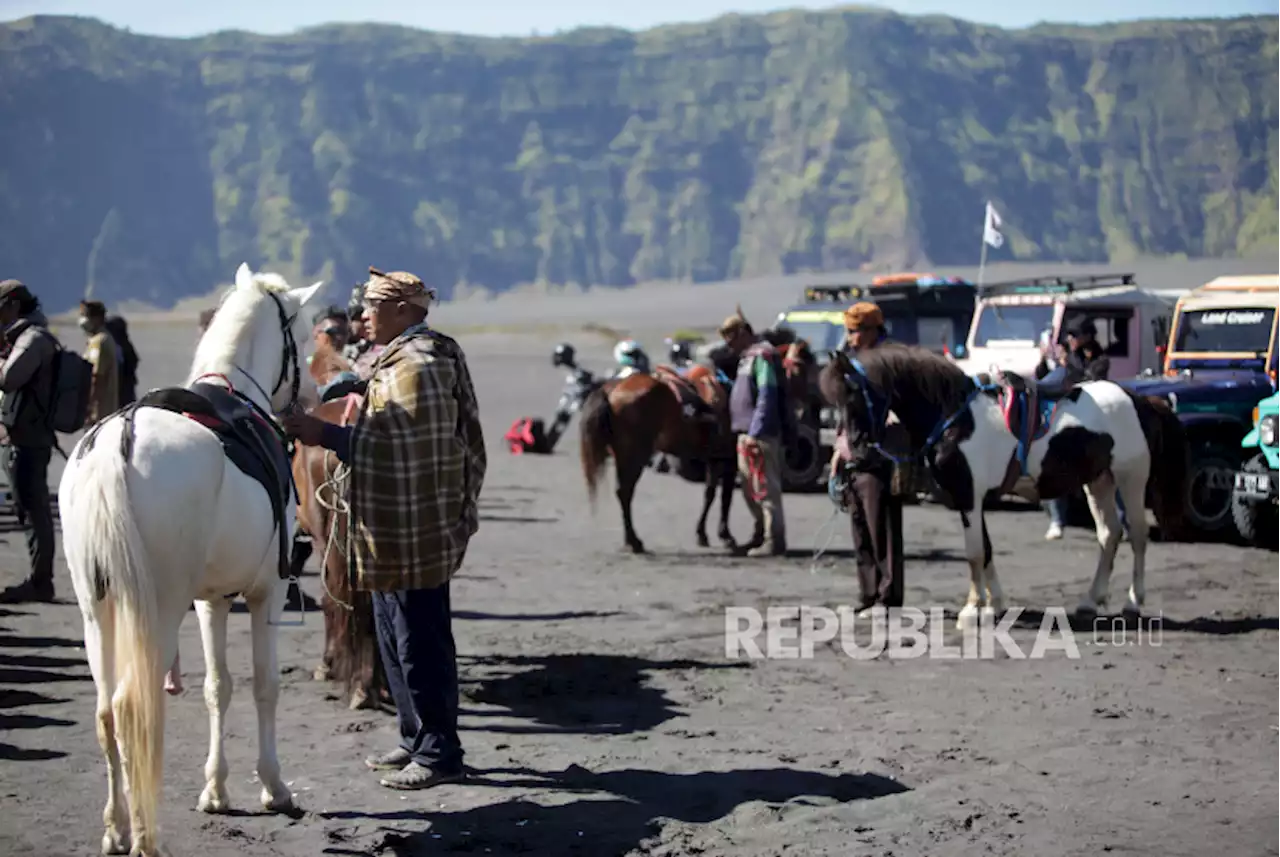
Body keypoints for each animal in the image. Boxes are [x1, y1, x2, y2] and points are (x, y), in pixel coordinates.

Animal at [60, 264, 325, 854]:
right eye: (305, 329)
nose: (315, 393)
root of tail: (118, 441)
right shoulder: (266, 594)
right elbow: (264, 685)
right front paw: (273, 786)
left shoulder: (211, 601)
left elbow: (216, 688)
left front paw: (217, 789)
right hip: (156, 608)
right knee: (134, 709)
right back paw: (143, 834)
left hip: (98, 611)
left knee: (106, 711)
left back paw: (116, 828)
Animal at [819, 342, 1187, 631]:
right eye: (837, 402)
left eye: (856, 395)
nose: (853, 450)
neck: (955, 419)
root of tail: (1142, 400)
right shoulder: (973, 499)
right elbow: (987, 550)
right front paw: (993, 605)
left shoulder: (969, 497)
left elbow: (974, 553)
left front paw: (971, 610)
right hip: (1100, 481)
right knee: (1109, 534)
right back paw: (1089, 601)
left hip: (1131, 479)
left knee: (1137, 535)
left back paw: (1133, 603)